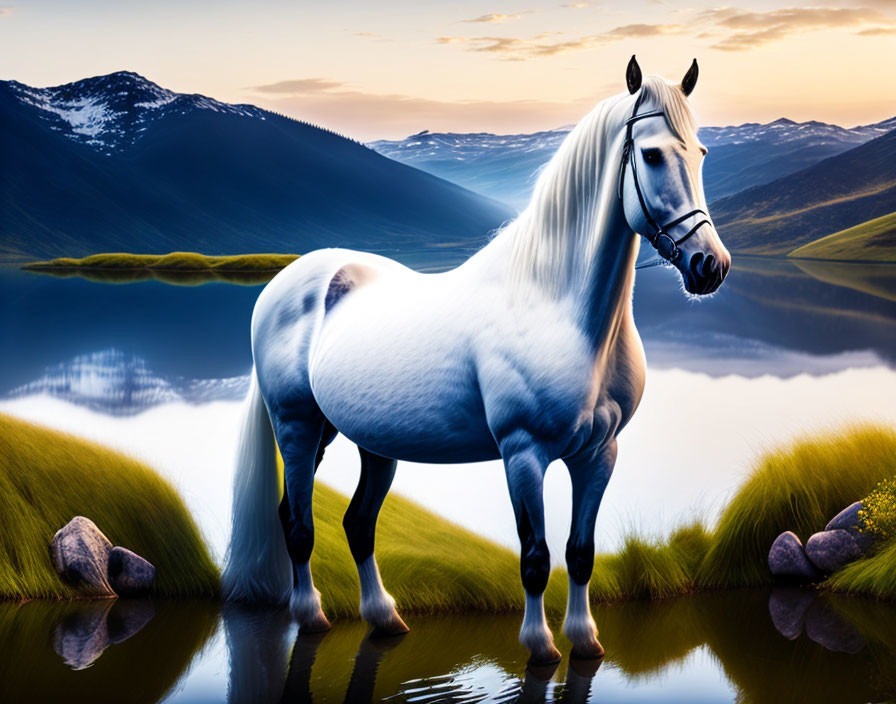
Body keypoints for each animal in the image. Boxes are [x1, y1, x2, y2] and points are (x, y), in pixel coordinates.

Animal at [222, 56, 728, 664]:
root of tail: (286, 282)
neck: (554, 304)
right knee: (297, 524)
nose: (709, 266)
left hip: (366, 440)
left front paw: (586, 641)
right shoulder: (523, 454)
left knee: (357, 524)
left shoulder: (599, 454)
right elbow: (535, 558)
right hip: (297, 425)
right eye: (651, 155)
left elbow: (579, 552)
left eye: (700, 153)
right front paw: (541, 647)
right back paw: (311, 615)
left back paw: (384, 619)